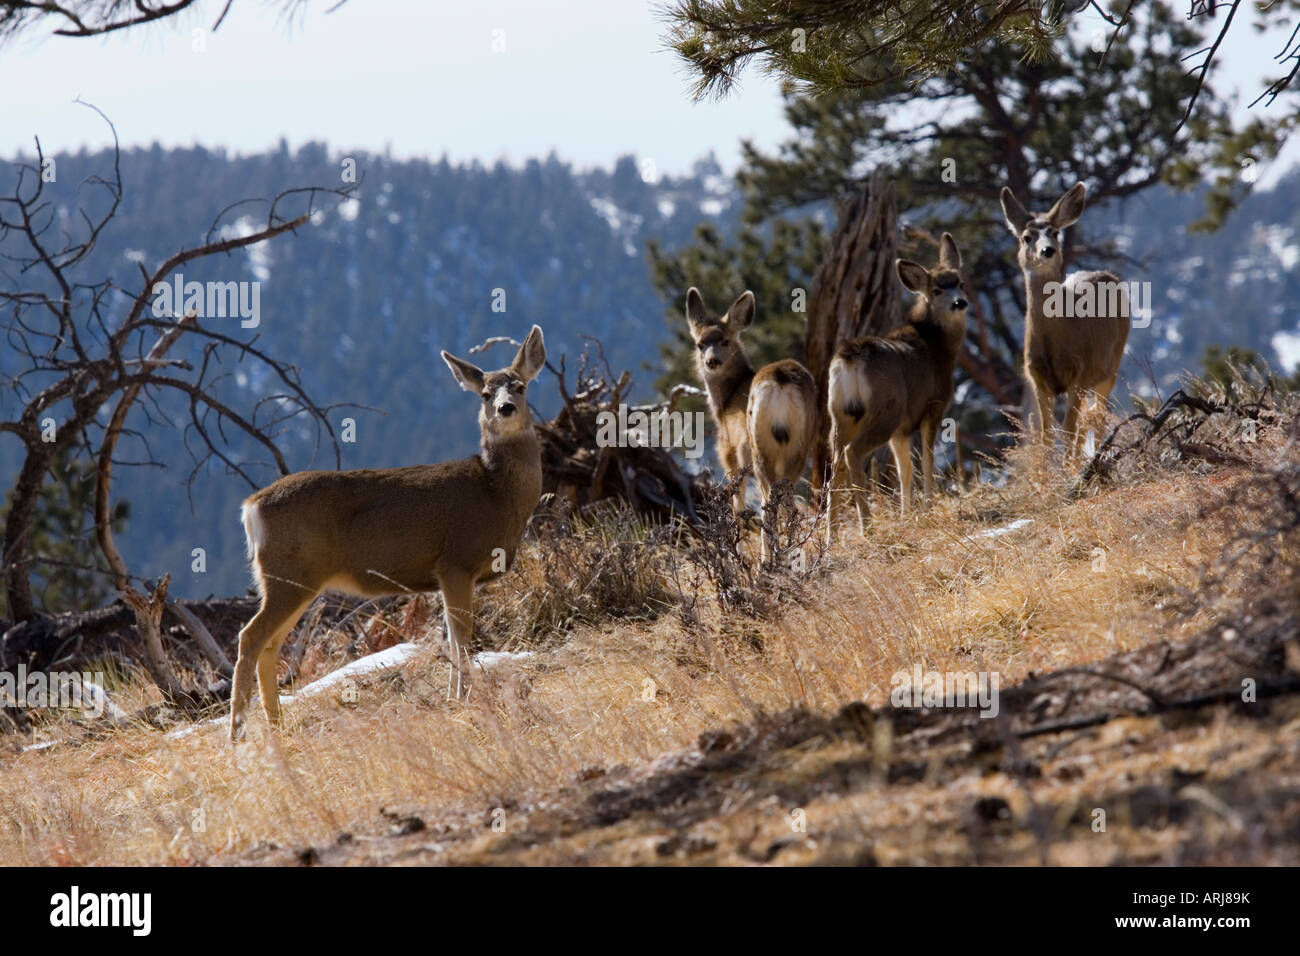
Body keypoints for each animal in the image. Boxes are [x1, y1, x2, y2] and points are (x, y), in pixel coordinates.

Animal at [228, 326, 547, 741]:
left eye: (520, 386)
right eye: (485, 393)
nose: (505, 409)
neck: (497, 493)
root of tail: (251, 506)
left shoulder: (450, 573)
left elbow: (451, 636)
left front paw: (454, 697)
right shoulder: (455, 562)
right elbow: (461, 635)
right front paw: (463, 698)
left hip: (293, 580)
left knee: (270, 645)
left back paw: (277, 726)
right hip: (289, 573)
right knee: (251, 637)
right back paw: (237, 734)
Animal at [684, 287, 817, 562]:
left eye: (725, 340)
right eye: (700, 344)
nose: (711, 361)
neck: (726, 401)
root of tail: (780, 379)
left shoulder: (728, 451)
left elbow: (737, 504)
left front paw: (737, 552)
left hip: (759, 447)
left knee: (770, 504)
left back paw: (767, 562)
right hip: (800, 443)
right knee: (789, 502)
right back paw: (793, 554)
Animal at [825, 233, 969, 543]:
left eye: (961, 282)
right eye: (937, 290)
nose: (959, 302)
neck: (938, 348)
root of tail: (848, 358)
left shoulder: (902, 429)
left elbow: (905, 469)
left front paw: (906, 513)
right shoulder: (933, 406)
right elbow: (926, 461)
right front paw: (927, 506)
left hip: (839, 416)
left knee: (834, 468)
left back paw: (832, 536)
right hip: (886, 410)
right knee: (853, 453)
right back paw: (867, 526)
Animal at [1000, 182, 1130, 461]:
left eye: (1055, 233)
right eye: (1027, 237)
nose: (1047, 250)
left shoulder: (1079, 372)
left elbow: (1069, 431)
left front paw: (1069, 470)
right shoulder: (1036, 377)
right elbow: (1046, 436)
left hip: (1111, 366)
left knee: (1098, 418)